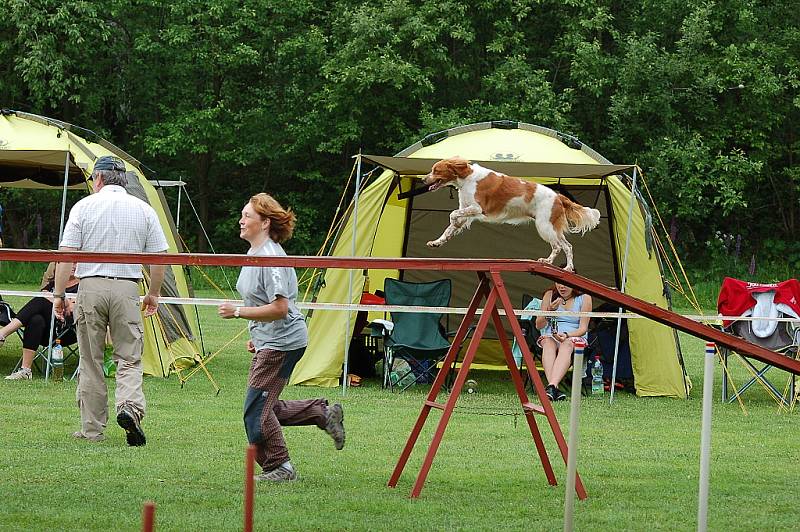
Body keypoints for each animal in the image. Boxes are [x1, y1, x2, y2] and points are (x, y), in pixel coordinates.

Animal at [424, 155, 600, 270]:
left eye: (436, 170)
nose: (423, 180)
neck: (466, 178)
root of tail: (558, 196)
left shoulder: (478, 208)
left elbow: (453, 214)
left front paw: (451, 224)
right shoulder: (467, 209)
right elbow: (450, 227)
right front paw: (437, 242)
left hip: (544, 225)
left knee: (557, 246)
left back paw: (547, 262)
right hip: (552, 227)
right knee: (568, 246)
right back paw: (568, 268)